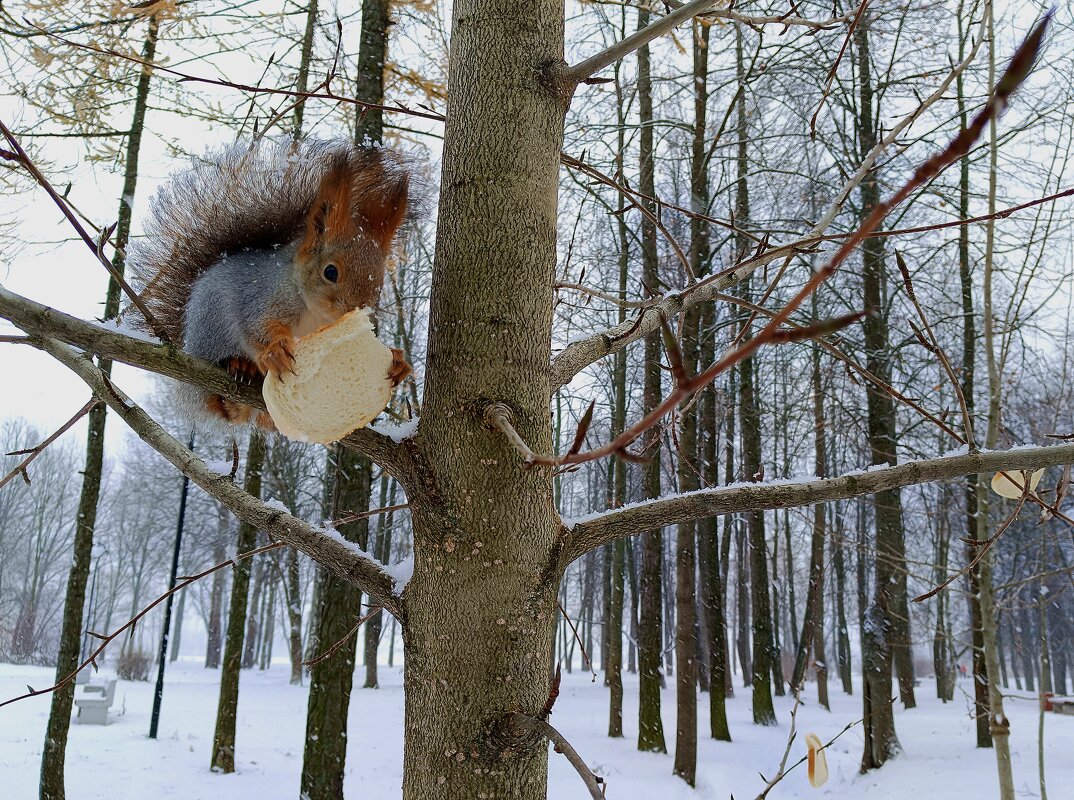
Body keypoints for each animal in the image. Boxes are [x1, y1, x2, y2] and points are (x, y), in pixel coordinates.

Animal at [129, 141, 405, 431]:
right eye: (330, 272)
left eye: (380, 280)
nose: (357, 308)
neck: (316, 314)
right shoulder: (261, 298)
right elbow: (256, 326)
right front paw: (275, 351)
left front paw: (399, 362)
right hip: (211, 334)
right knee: (220, 403)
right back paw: (240, 367)